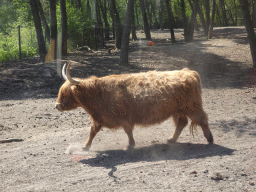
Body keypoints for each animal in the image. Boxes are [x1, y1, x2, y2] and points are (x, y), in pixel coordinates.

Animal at [56, 62, 214, 151]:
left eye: (66, 93)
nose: (57, 106)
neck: (98, 94)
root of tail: (188, 72)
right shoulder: (98, 119)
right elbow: (92, 132)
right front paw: (85, 146)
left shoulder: (125, 118)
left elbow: (128, 132)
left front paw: (130, 145)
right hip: (178, 110)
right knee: (181, 123)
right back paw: (171, 139)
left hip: (193, 107)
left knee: (202, 120)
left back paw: (210, 139)